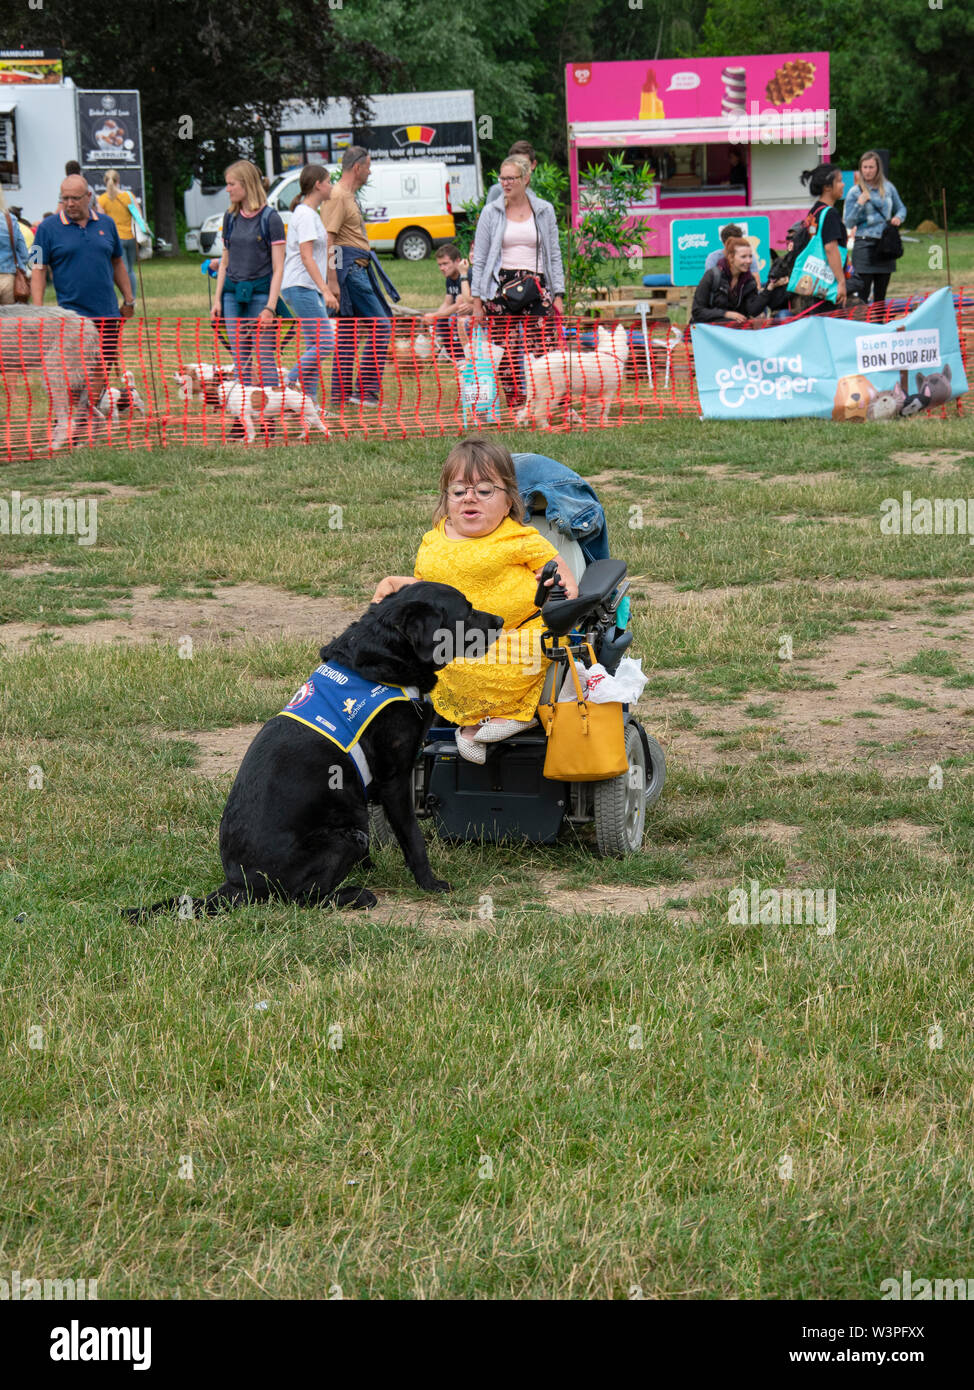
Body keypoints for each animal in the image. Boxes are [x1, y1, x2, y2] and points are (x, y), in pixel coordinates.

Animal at [127, 581, 500, 917]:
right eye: (467, 610)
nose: (499, 620)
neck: (385, 660)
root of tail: (237, 885)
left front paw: (372, 867)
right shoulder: (395, 778)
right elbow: (413, 837)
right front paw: (430, 883)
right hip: (345, 836)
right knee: (302, 897)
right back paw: (355, 895)